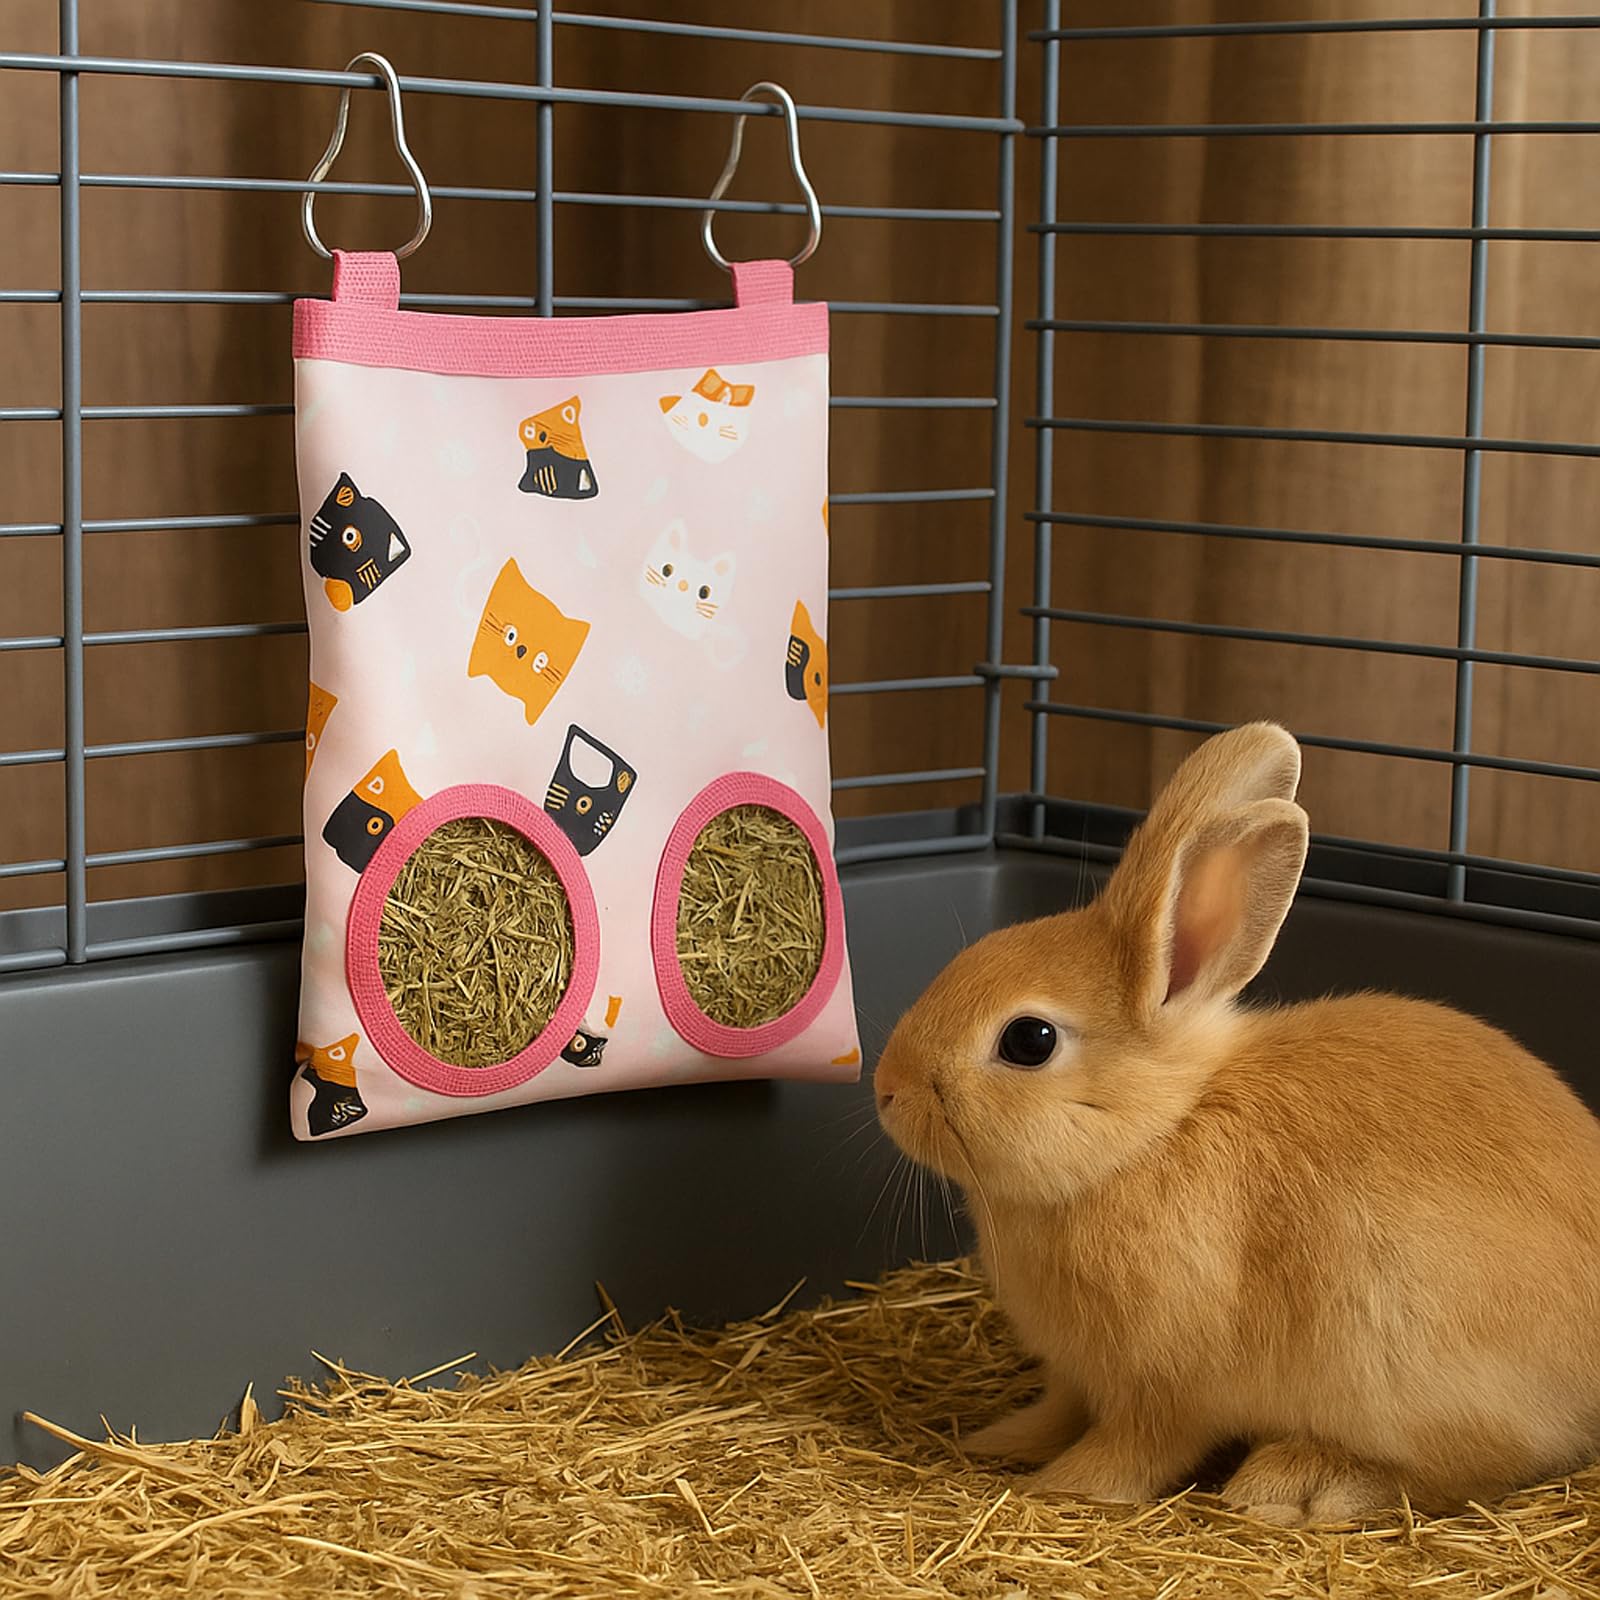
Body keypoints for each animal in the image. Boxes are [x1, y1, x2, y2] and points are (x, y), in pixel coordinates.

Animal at [873, 721, 1600, 1527]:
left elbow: (1135, 1448)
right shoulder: (1077, 1377)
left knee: (1460, 1471)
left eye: (1029, 1041)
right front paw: (999, 1440)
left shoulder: (1165, 1387)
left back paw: (1296, 1484)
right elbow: (1058, 1410)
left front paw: (1059, 1486)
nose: (886, 1089)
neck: (1153, 1134)